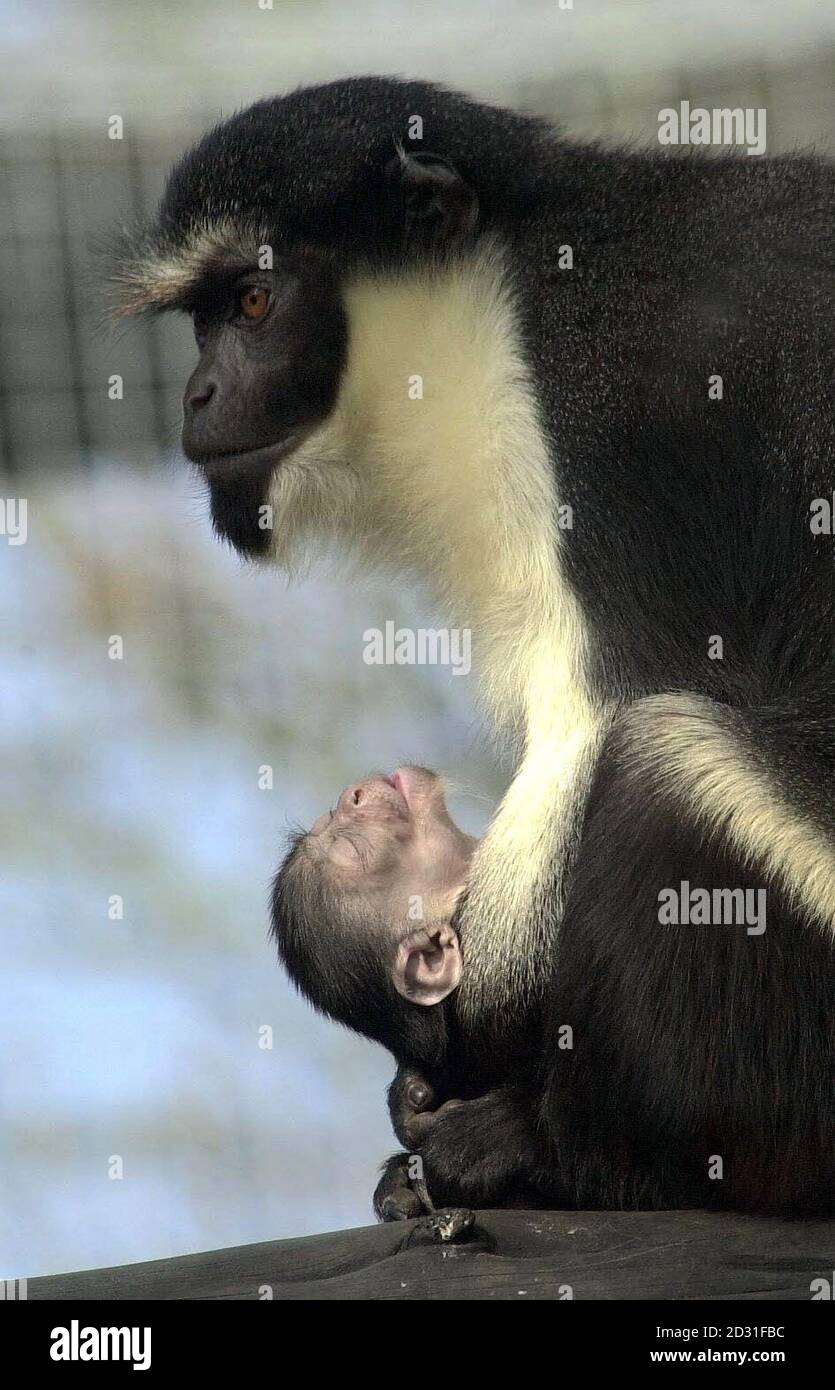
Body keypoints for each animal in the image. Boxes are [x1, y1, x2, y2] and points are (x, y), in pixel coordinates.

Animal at [113, 78, 833, 1206]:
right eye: (201, 320)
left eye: (252, 305)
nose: (196, 395)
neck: (499, 298)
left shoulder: (596, 415)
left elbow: (615, 701)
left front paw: (466, 1054)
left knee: (670, 764)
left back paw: (575, 1153)